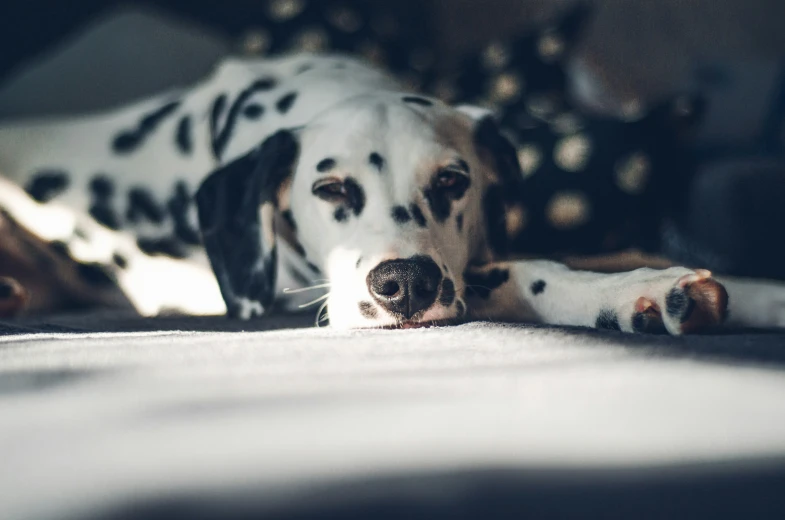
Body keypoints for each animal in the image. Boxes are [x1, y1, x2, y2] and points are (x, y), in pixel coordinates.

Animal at [0, 53, 780, 334]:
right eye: (328, 187)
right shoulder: (295, 296)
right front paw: (631, 295)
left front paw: (749, 290)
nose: (403, 283)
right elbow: (521, 272)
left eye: (452, 181)